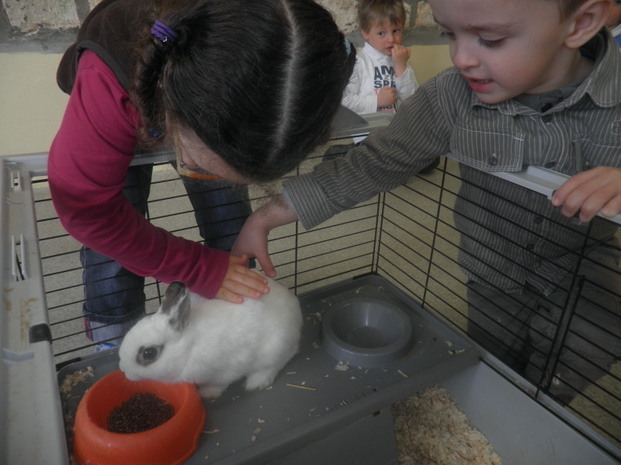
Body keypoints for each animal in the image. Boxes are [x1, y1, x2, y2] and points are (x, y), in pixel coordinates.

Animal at [118, 276, 302, 398]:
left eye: (149, 353)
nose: (124, 371)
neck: (188, 348)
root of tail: (295, 309)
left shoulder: (225, 371)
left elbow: (219, 384)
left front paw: (206, 393)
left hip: (275, 347)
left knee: (278, 362)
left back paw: (256, 382)